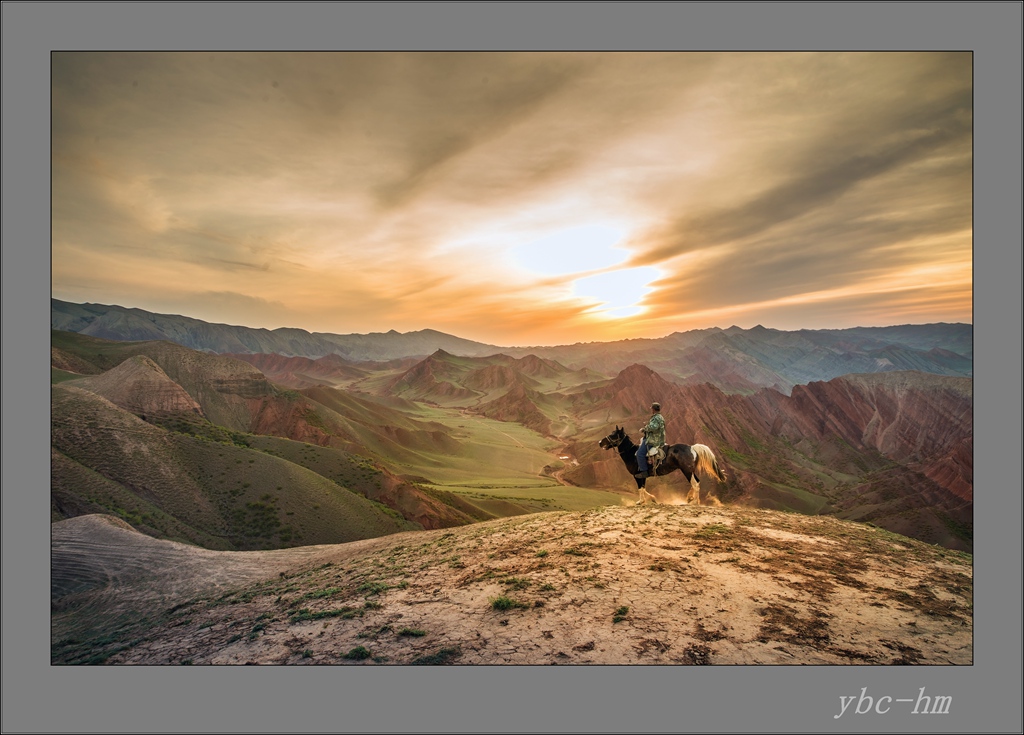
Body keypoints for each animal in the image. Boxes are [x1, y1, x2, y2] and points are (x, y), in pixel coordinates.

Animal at [598, 425, 729, 507]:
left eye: (613, 435)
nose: (600, 442)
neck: (632, 453)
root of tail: (692, 447)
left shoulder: (637, 475)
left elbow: (640, 488)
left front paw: (642, 501)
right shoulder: (642, 476)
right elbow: (643, 488)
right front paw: (652, 499)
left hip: (686, 470)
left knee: (695, 483)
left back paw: (693, 502)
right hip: (689, 470)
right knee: (697, 481)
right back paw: (689, 498)